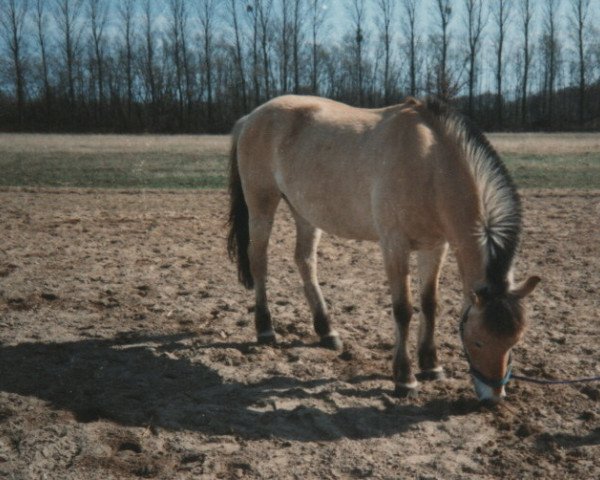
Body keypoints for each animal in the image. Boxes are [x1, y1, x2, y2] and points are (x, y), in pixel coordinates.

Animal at [227, 94, 540, 402]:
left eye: (514, 341)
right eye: (477, 341)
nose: (493, 397)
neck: (431, 164)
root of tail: (251, 117)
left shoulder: (435, 246)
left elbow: (430, 304)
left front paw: (431, 365)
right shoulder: (394, 245)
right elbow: (403, 309)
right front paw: (405, 378)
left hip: (305, 211)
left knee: (304, 261)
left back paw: (327, 331)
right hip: (261, 205)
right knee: (259, 261)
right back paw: (265, 329)